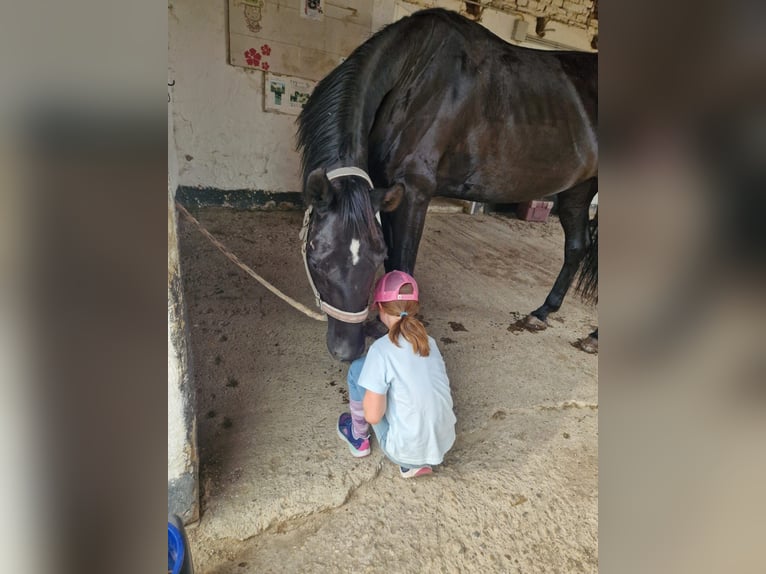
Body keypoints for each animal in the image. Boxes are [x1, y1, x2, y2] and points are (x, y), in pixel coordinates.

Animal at [296, 7, 596, 360]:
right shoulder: (388, 192)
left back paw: (594, 336)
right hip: (578, 190)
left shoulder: (414, 191)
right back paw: (543, 312)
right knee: (576, 247)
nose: (348, 350)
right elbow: (395, 263)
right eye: (316, 259)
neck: (413, 75)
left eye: (373, 259)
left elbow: (403, 261)